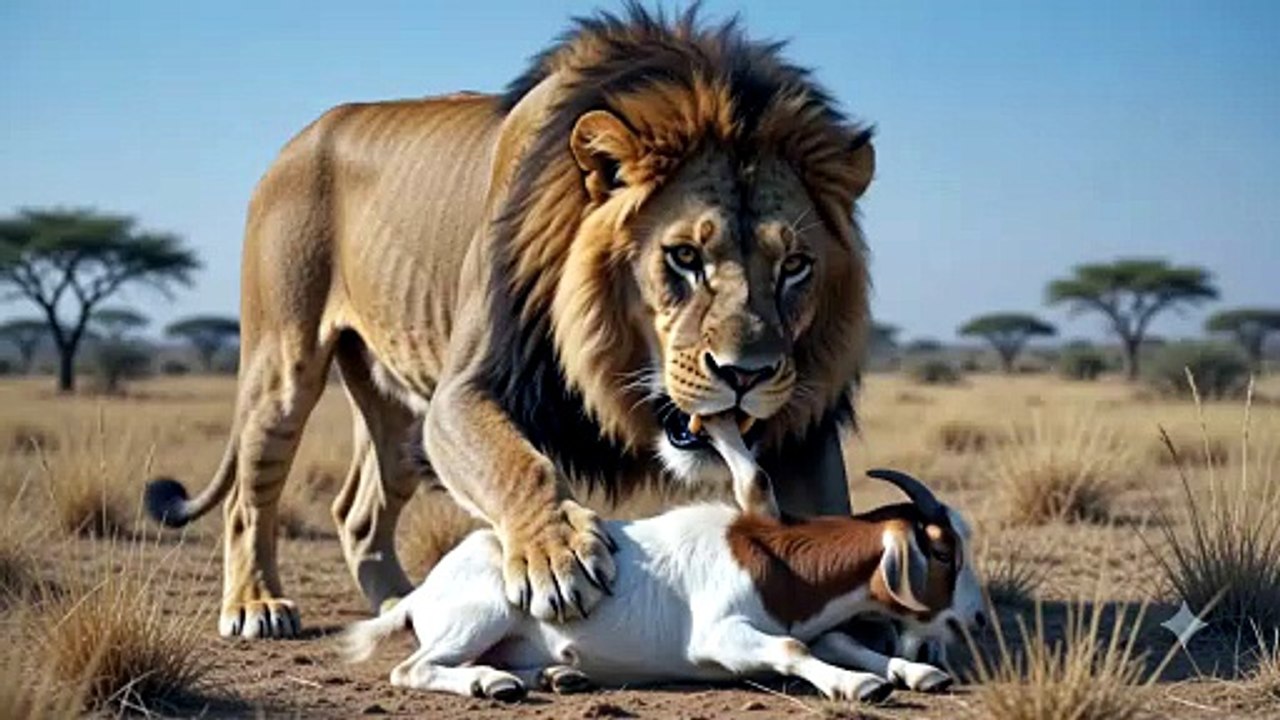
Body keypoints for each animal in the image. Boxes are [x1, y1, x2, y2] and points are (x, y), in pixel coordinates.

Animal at [144, 5, 875, 639]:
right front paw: (559, 558)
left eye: (795, 266)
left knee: (357, 513)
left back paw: (404, 603)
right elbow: (519, 466)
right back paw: (257, 606)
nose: (745, 375)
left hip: (395, 411)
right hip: (285, 365)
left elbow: (831, 507)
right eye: (684, 257)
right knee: (248, 498)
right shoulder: (464, 390)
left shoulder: (800, 422)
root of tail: (297, 139)